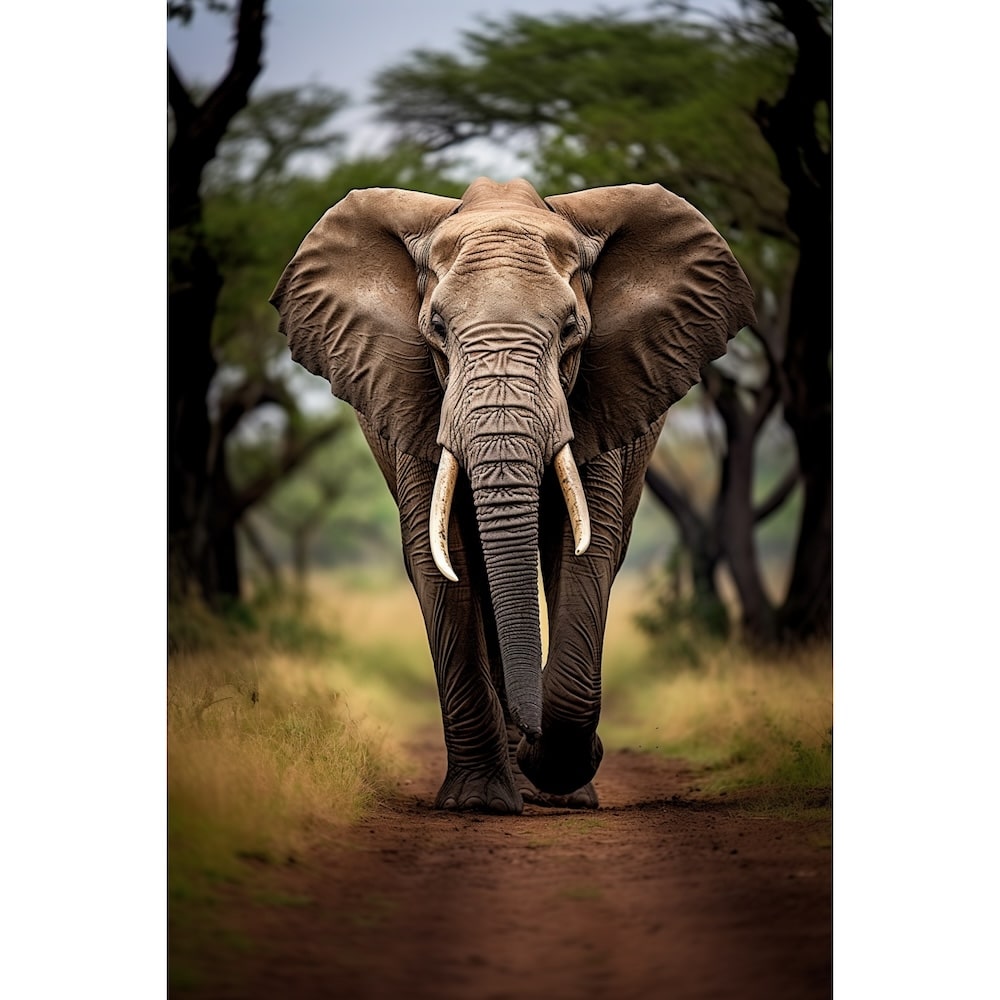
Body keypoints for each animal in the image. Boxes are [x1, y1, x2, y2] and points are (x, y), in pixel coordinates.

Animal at [271, 177, 754, 814]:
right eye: (437, 330)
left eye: (571, 329)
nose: (532, 735)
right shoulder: (412, 398)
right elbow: (438, 558)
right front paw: (479, 802)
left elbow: (587, 551)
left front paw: (560, 772)